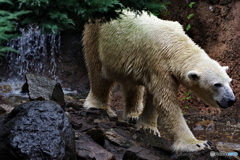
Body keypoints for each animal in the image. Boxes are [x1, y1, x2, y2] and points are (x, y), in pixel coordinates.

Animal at [81, 10, 235, 152]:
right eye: (217, 84)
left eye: (229, 81)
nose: (231, 100)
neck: (174, 43)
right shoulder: (158, 63)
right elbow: (166, 101)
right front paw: (198, 143)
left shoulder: (157, 67)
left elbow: (155, 98)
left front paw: (148, 127)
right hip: (98, 35)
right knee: (98, 71)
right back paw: (98, 106)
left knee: (132, 85)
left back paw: (133, 115)